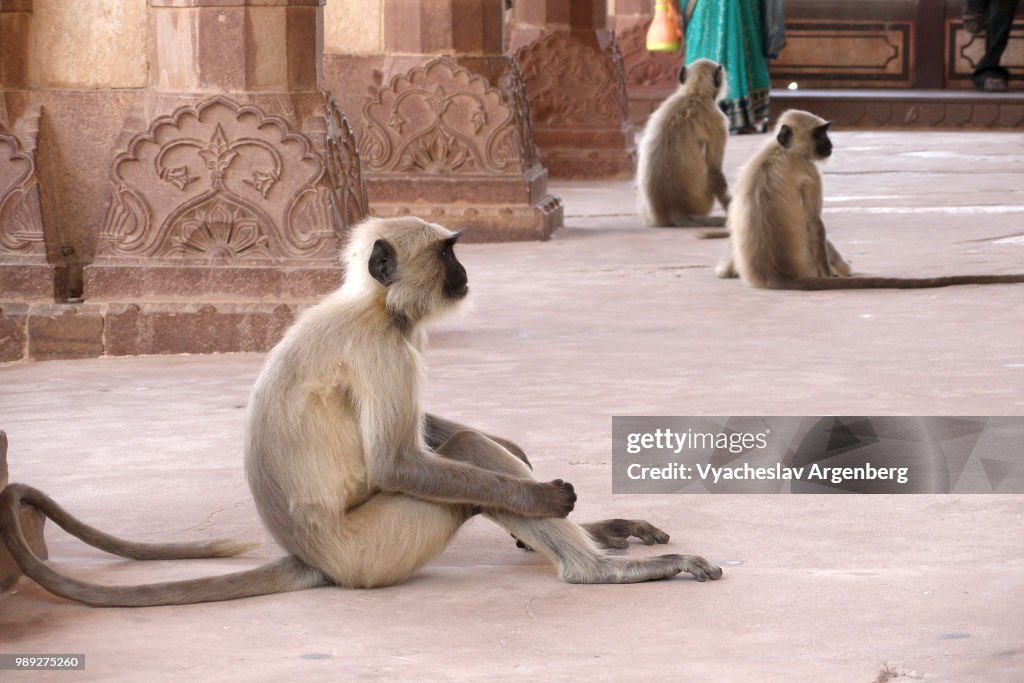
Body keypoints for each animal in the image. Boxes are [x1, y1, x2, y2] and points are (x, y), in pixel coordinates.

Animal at [0, 216, 720, 606]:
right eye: (449, 252)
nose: (465, 272)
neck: (373, 305)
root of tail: (313, 556)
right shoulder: (384, 347)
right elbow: (396, 460)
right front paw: (541, 494)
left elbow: (428, 432)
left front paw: (524, 460)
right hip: (376, 551)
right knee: (458, 463)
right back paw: (593, 568)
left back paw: (594, 535)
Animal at [716, 110, 1024, 288]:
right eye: (819, 134)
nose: (830, 144)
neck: (781, 151)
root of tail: (775, 274)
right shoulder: (810, 170)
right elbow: (815, 223)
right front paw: (831, 273)